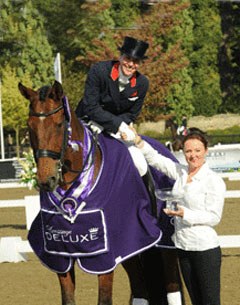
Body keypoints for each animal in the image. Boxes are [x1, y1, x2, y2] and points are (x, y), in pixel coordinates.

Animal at [18, 81, 184, 304]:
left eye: (59, 124)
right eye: (30, 125)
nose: (47, 180)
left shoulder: (104, 256)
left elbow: (104, 299)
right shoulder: (61, 255)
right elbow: (68, 298)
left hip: (164, 242)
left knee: (171, 286)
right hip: (131, 247)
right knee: (140, 287)